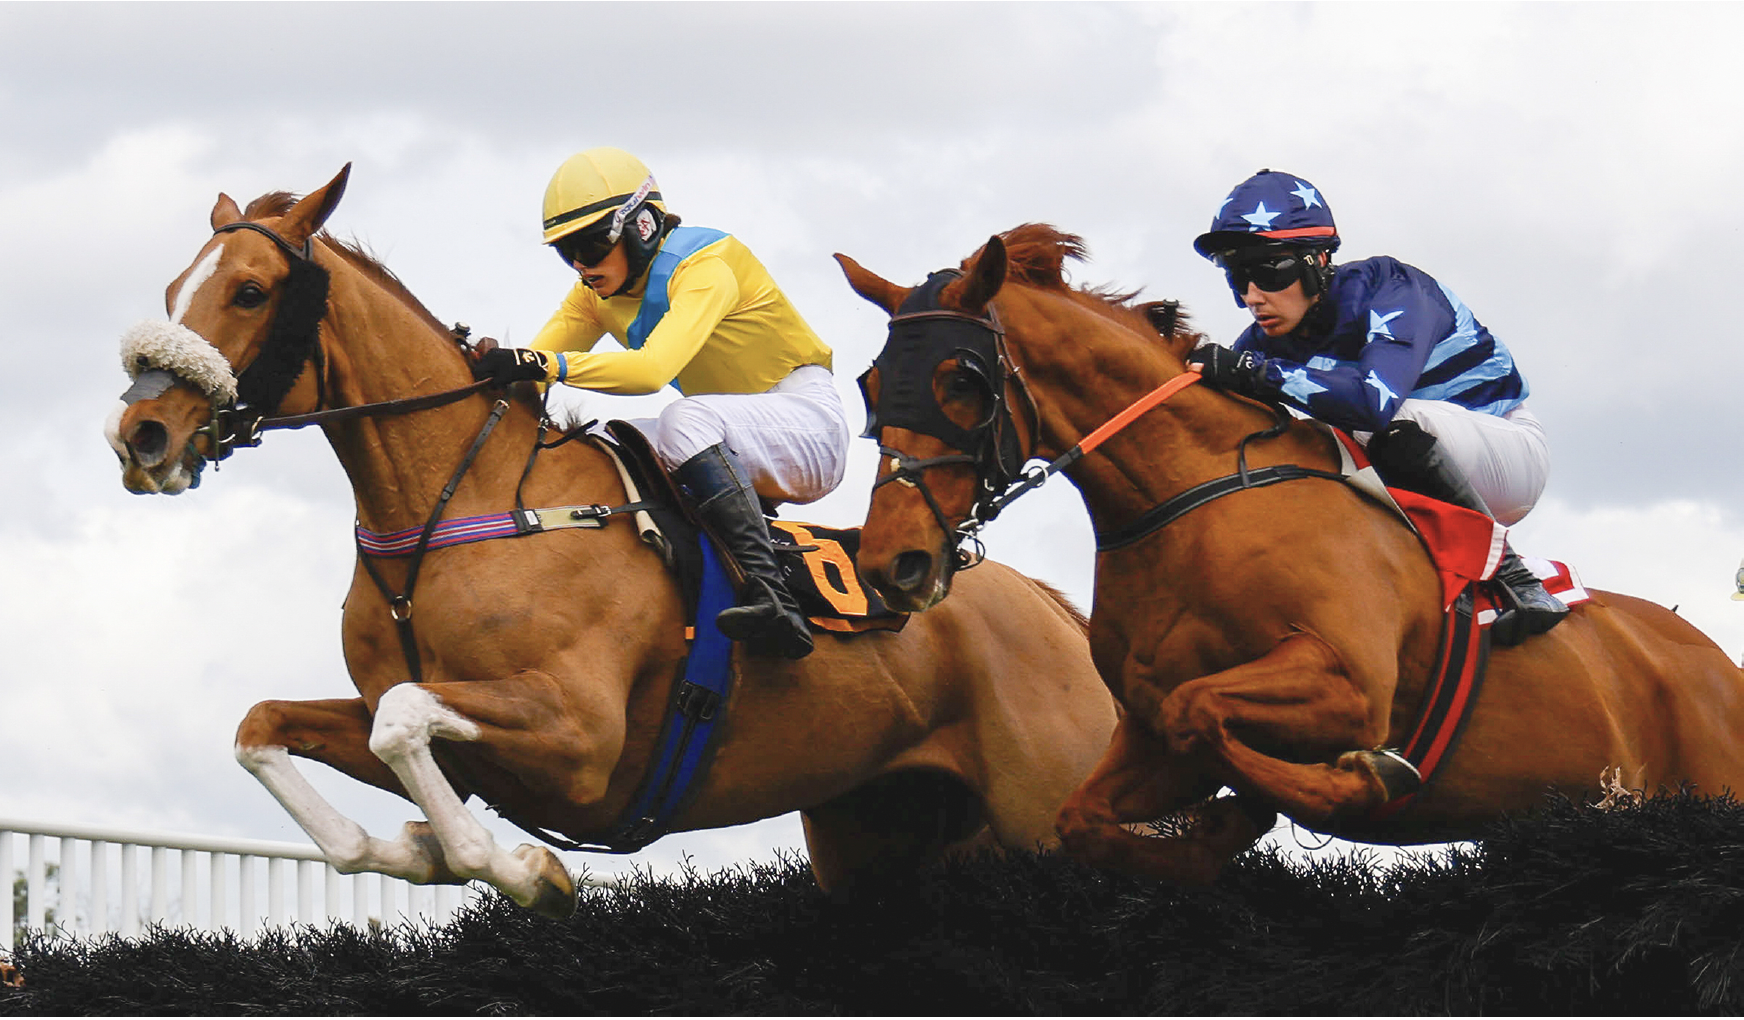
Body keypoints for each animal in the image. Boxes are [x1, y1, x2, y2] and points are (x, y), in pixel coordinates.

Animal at [103, 168, 1120, 916]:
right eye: (172, 290)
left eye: (249, 291)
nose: (139, 436)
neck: (453, 509)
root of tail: (1058, 615)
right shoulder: (452, 731)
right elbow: (269, 728)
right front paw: (415, 847)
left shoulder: (580, 735)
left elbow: (403, 718)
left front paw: (519, 869)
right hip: (877, 834)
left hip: (1045, 803)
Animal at [837, 223, 1744, 884]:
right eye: (872, 387)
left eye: (962, 380)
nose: (892, 563)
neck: (1196, 498)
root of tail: (1713, 662)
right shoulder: (1148, 737)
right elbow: (1091, 812)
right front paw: (1218, 831)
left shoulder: (1347, 683)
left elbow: (1206, 710)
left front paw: (1355, 783)